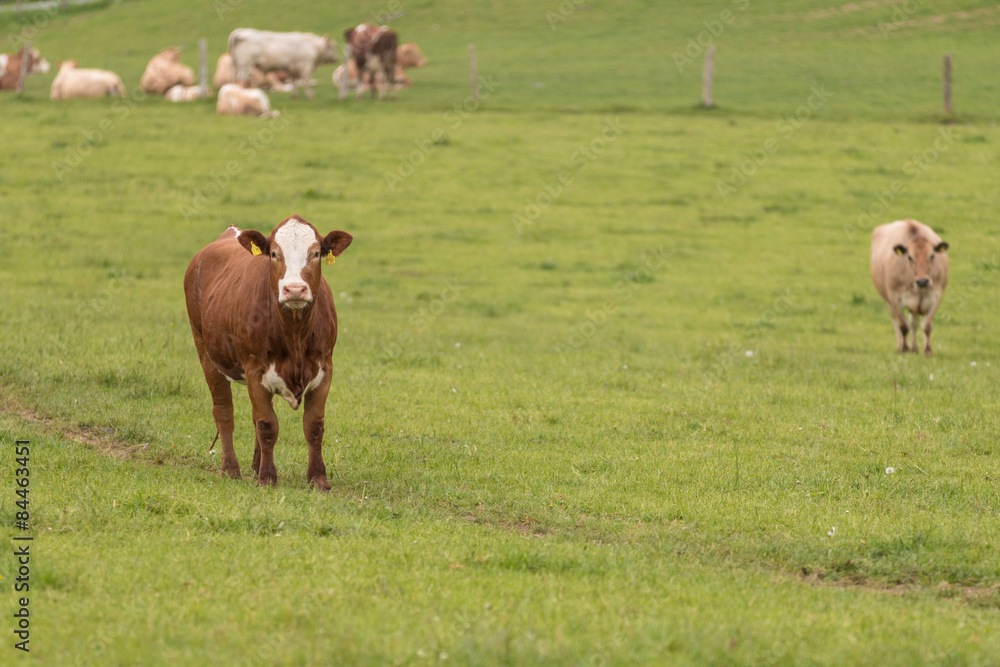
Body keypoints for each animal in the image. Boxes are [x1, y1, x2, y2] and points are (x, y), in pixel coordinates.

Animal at [183, 217, 353, 489]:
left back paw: (255, 465)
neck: (295, 333)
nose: (294, 289)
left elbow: (314, 426)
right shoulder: (255, 370)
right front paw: (267, 478)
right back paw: (231, 468)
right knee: (224, 412)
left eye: (316, 253)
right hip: (205, 350)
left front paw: (318, 478)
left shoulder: (324, 369)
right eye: (274, 253)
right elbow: (267, 425)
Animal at [871, 219, 949, 355]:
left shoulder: (936, 297)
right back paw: (901, 346)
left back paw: (914, 348)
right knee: (897, 322)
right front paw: (904, 348)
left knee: (914, 323)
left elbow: (927, 326)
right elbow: (903, 326)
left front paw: (927, 350)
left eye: (932, 256)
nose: (922, 281)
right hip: (889, 302)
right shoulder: (894, 299)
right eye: (909, 257)